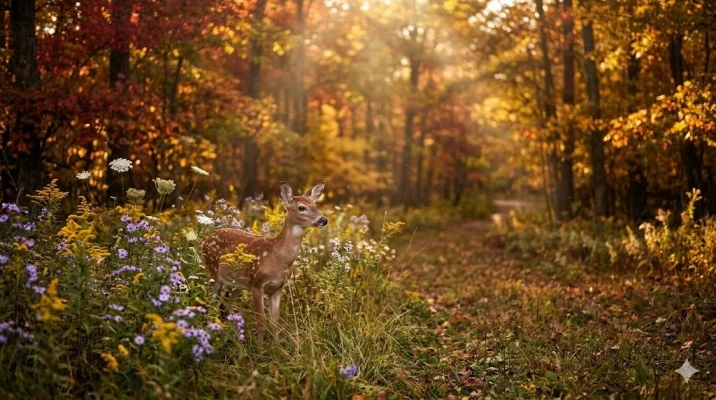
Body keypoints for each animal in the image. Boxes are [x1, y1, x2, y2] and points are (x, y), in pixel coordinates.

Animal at [202, 181, 327, 348]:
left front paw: (278, 349)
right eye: (302, 207)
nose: (323, 220)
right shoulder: (257, 284)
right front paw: (260, 351)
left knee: (225, 307)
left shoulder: (277, 288)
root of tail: (205, 240)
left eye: (315, 205)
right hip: (214, 273)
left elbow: (275, 323)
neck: (278, 257)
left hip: (238, 284)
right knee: (210, 304)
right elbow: (261, 323)